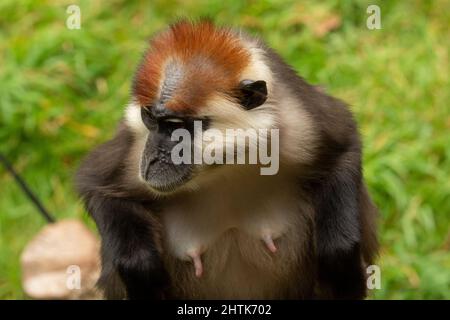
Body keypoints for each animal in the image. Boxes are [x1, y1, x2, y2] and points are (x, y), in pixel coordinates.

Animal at [75, 20, 378, 300]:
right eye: (149, 118)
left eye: (176, 127)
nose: (151, 161)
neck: (227, 165)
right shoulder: (132, 150)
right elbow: (95, 185)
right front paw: (140, 264)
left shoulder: (300, 123)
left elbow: (345, 150)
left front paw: (338, 247)